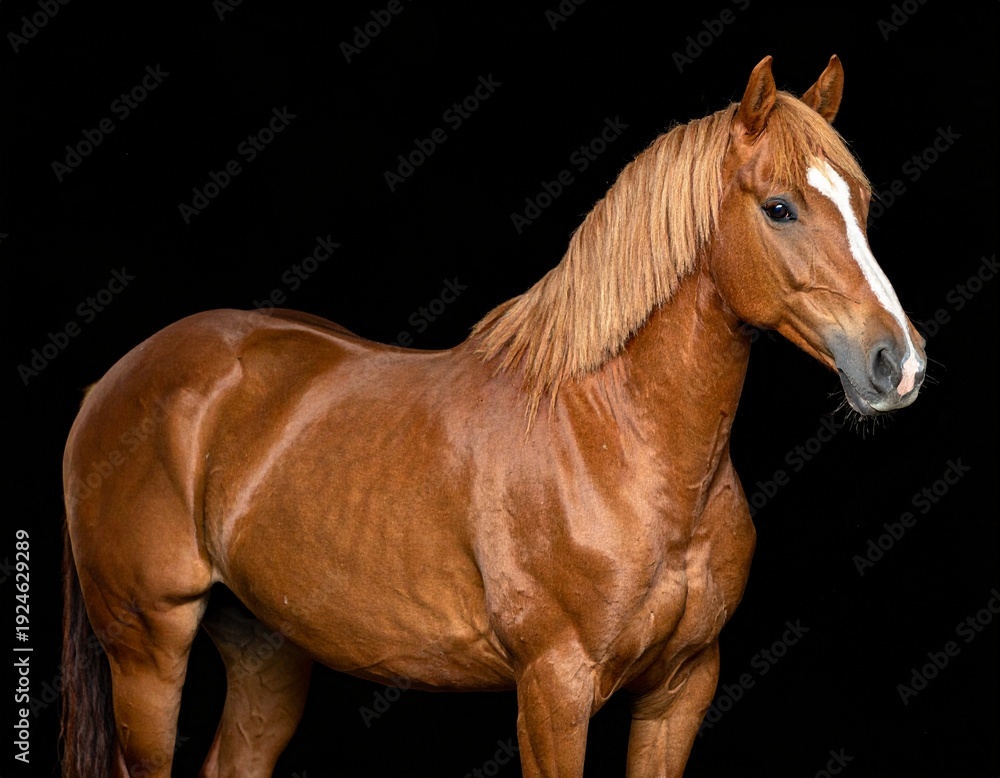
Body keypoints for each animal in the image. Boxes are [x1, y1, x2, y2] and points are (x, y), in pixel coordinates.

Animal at [61, 55, 926, 777]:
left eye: (862, 202)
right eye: (780, 208)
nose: (899, 363)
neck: (618, 443)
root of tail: (110, 383)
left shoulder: (680, 689)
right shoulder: (554, 689)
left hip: (265, 648)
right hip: (147, 650)